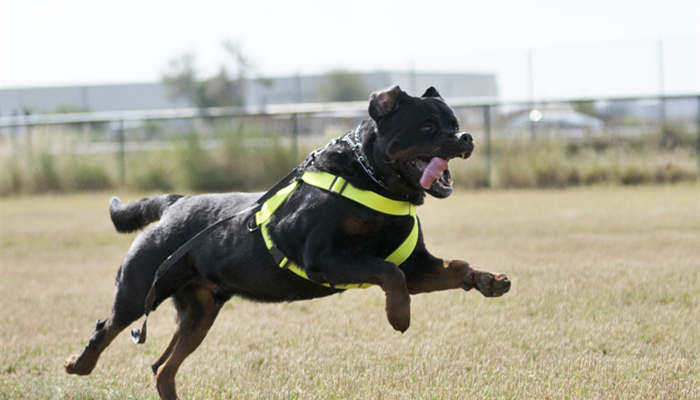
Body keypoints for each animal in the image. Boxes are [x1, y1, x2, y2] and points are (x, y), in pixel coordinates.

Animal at [65, 86, 512, 398]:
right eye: (427, 126)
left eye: (454, 121)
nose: (466, 137)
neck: (373, 181)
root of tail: (175, 204)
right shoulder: (324, 257)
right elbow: (387, 273)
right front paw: (398, 316)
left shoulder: (416, 267)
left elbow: (452, 268)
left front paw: (487, 280)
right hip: (139, 288)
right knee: (107, 327)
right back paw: (79, 363)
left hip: (199, 311)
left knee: (163, 366)